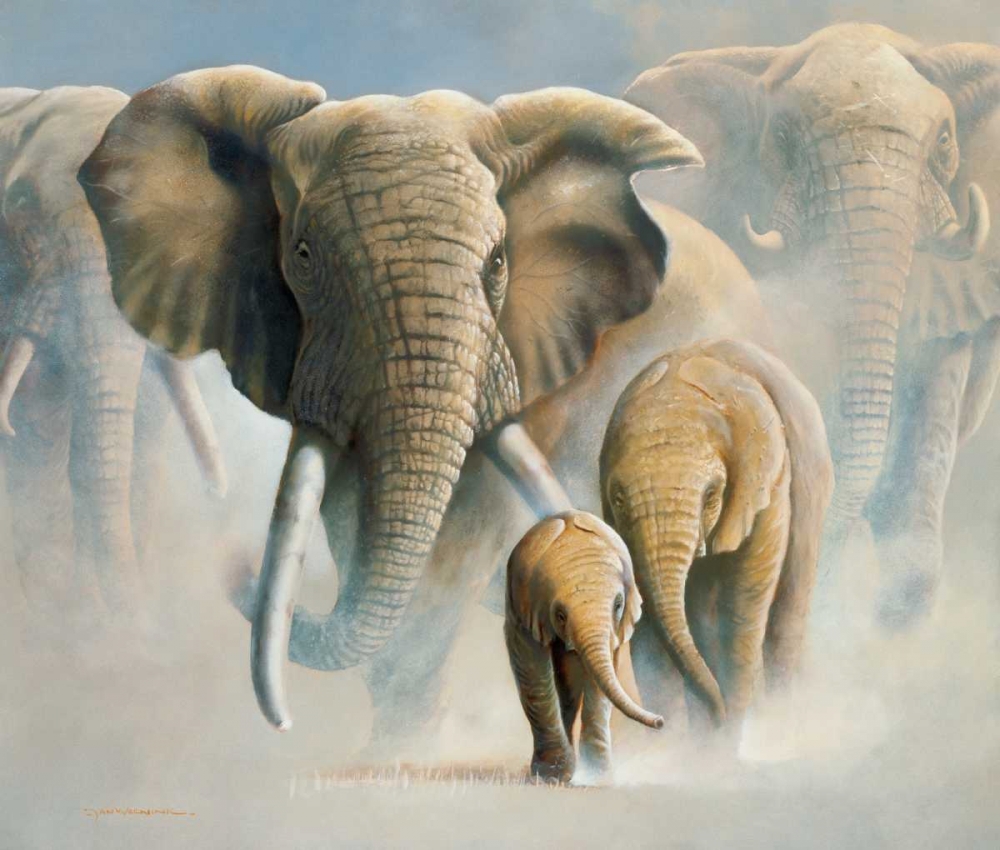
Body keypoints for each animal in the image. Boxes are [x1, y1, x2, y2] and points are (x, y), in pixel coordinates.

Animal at [504, 510, 661, 783]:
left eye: (618, 605)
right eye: (560, 615)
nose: (660, 721)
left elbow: (599, 682)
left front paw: (596, 777)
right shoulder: (523, 608)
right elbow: (533, 670)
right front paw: (551, 776)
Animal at [599, 339, 833, 740]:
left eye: (711, 495)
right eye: (618, 499)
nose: (718, 713)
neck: (674, 399)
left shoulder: (770, 481)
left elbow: (742, 600)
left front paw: (728, 736)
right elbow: (645, 620)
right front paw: (678, 745)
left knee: (787, 608)